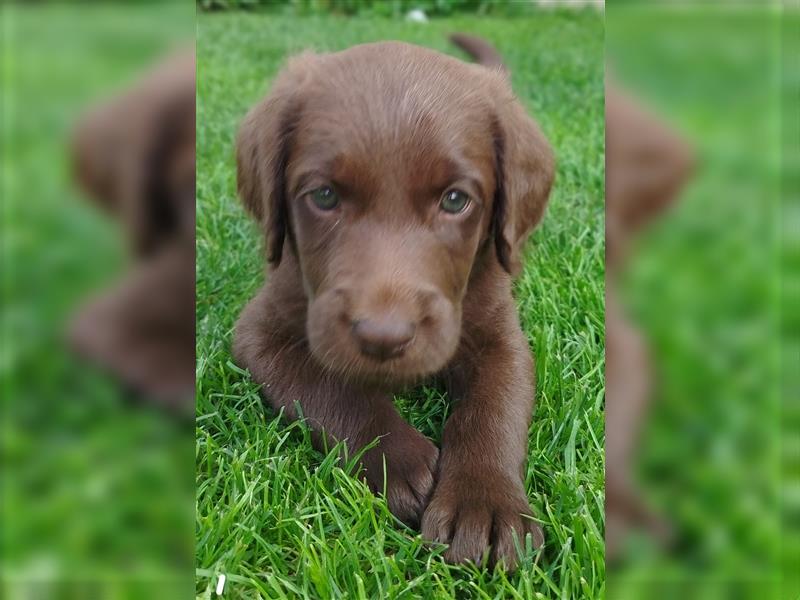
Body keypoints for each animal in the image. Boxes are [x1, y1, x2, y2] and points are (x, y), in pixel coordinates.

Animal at [234, 38, 552, 568]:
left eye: (455, 200)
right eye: (324, 195)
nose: (384, 338)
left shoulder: (500, 336)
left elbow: (493, 409)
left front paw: (483, 502)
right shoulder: (259, 330)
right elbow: (325, 385)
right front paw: (396, 459)